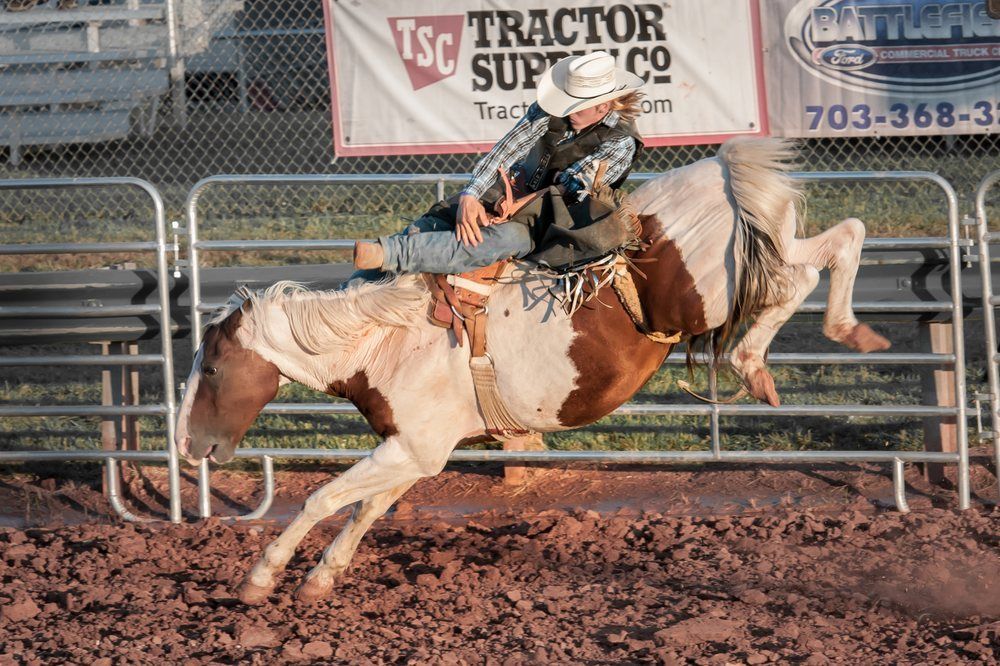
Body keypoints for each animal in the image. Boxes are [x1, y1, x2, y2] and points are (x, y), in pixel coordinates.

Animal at [174, 137, 889, 605]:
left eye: (212, 368)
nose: (186, 445)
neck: (382, 340)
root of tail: (719, 170)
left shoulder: (412, 447)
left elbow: (324, 498)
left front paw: (261, 578)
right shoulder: (415, 451)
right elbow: (367, 507)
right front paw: (322, 577)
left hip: (715, 290)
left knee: (798, 280)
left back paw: (756, 362)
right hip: (763, 245)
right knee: (839, 240)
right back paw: (846, 330)